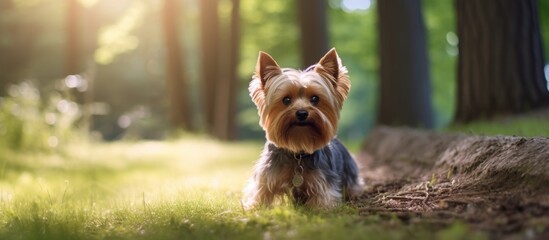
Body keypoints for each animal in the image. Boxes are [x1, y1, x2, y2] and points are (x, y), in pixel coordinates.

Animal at [242, 47, 362, 209]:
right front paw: (254, 207)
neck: (297, 152)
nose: (302, 113)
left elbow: (323, 203)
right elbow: (259, 196)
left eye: (315, 99)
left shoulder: (323, 183)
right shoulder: (266, 177)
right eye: (286, 100)